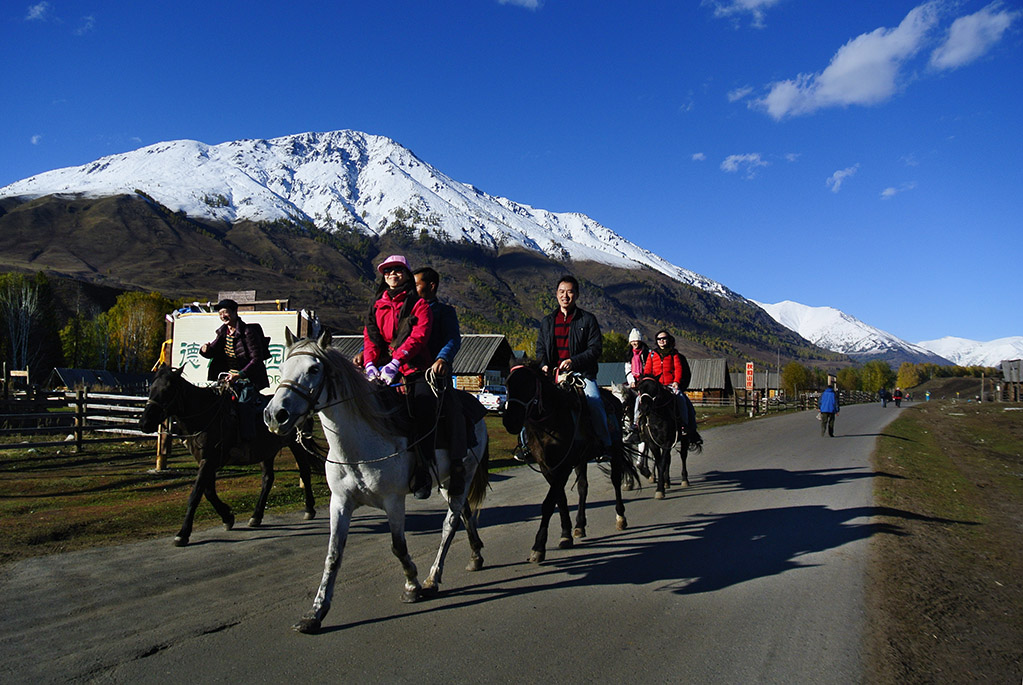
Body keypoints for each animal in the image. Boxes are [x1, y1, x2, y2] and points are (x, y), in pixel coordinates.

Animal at [137, 368, 319, 552]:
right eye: (151, 388)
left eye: (168, 389)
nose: (144, 423)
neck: (205, 414)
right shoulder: (205, 461)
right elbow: (209, 492)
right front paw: (227, 517)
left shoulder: (209, 460)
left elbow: (196, 494)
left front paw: (183, 533)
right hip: (266, 451)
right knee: (268, 479)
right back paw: (256, 516)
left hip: (297, 445)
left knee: (304, 472)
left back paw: (309, 509)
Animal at [261, 329, 488, 637]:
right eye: (282, 368)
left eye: (314, 369)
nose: (275, 415)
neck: (359, 446)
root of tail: (475, 408)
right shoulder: (340, 503)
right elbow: (333, 555)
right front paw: (315, 613)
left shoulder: (394, 501)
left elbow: (398, 547)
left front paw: (412, 585)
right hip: (446, 481)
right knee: (464, 513)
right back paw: (475, 556)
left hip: (463, 475)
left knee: (449, 524)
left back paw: (433, 578)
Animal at [499, 363, 634, 564]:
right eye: (507, 384)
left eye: (527, 385)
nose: (510, 421)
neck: (550, 423)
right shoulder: (547, 467)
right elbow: (560, 499)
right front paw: (566, 534)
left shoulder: (563, 467)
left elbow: (549, 503)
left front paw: (538, 547)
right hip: (581, 459)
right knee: (583, 487)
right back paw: (580, 525)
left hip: (615, 450)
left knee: (616, 480)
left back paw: (621, 518)